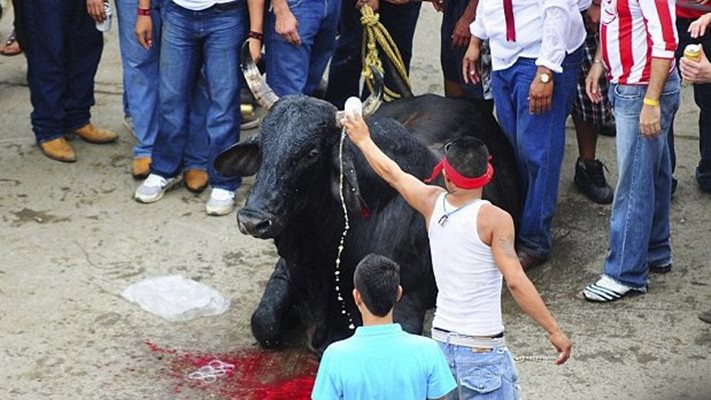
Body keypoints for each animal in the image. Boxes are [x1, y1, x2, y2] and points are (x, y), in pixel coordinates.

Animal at [214, 94, 520, 354]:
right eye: (263, 148)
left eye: (311, 153)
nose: (253, 219)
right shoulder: (286, 270)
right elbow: (264, 322)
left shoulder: (405, 300)